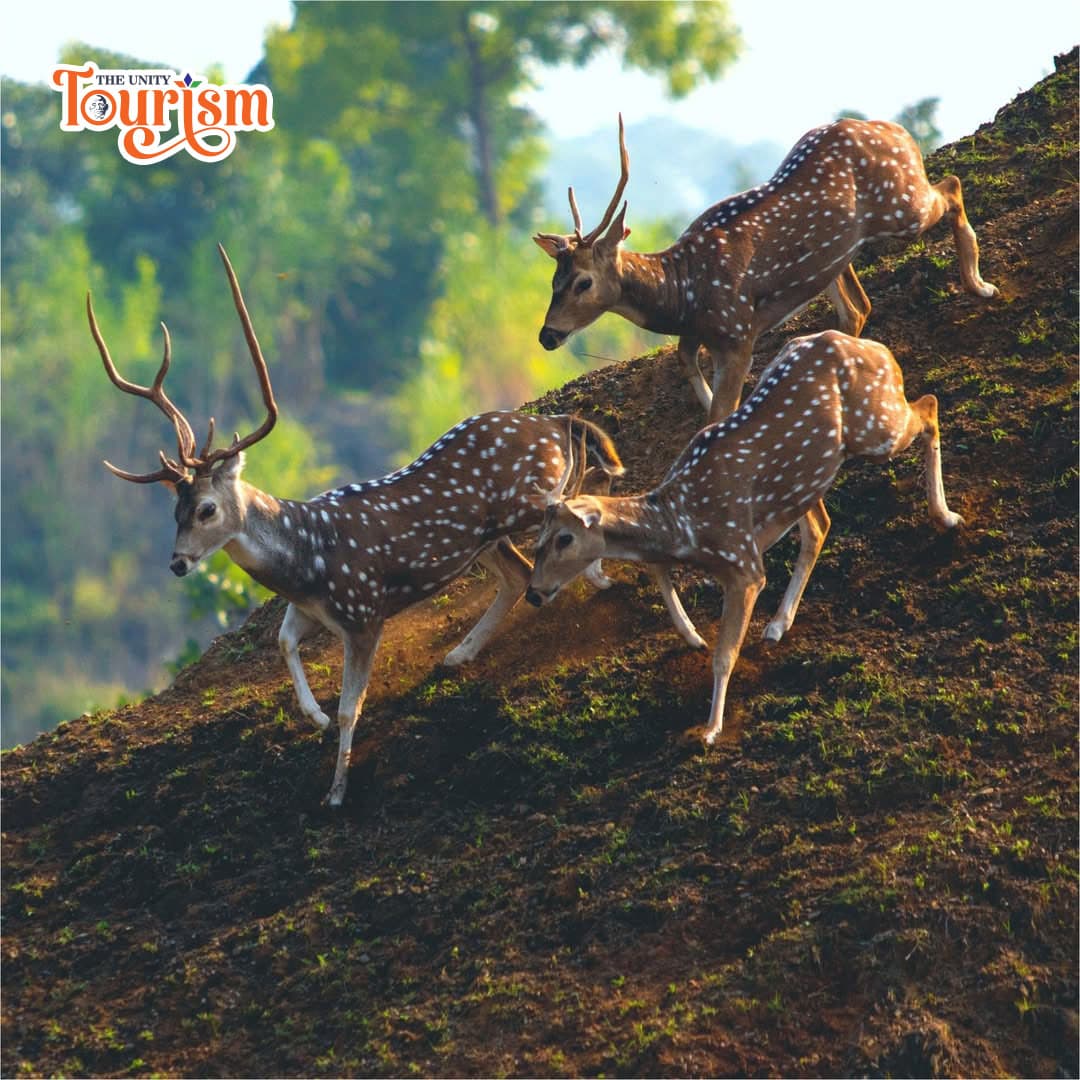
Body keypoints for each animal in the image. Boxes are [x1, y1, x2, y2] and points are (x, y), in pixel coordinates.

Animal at [89, 244, 707, 806]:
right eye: (174, 510)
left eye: (207, 510)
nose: (177, 562)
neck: (305, 557)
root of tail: (553, 421)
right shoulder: (310, 610)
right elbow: (284, 642)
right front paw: (313, 718)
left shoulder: (364, 612)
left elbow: (351, 706)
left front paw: (337, 790)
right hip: (486, 536)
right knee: (519, 571)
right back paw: (459, 654)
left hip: (530, 497)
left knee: (585, 493)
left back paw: (604, 577)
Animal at [524, 328, 966, 746]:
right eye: (538, 539)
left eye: (564, 539)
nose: (533, 593)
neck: (682, 520)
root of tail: (877, 348)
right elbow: (658, 570)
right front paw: (693, 637)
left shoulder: (743, 563)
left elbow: (725, 654)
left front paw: (710, 730)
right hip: (806, 480)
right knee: (820, 526)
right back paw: (777, 625)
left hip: (878, 427)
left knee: (928, 406)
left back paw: (946, 515)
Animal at [534, 115, 997, 424]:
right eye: (553, 281)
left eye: (583, 282)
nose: (547, 336)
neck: (683, 291)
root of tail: (898, 131)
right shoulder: (700, 332)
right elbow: (685, 360)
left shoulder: (738, 332)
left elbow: (719, 411)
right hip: (836, 255)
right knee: (858, 307)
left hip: (903, 204)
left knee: (951, 186)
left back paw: (981, 284)